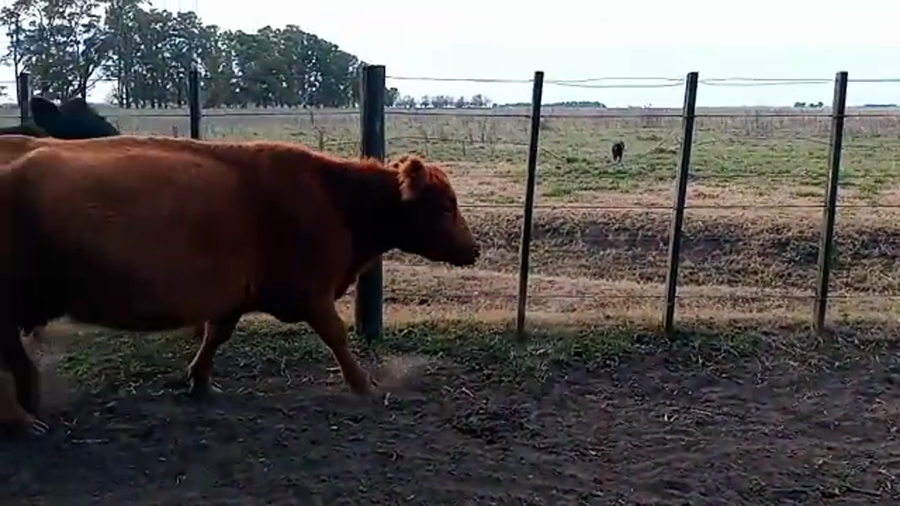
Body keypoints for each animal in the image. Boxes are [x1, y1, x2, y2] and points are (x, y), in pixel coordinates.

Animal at [0, 135, 480, 436]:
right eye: (444, 206)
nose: (473, 249)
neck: (334, 197)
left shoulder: (234, 296)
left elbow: (216, 335)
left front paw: (199, 382)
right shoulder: (312, 293)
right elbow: (337, 337)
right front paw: (364, 386)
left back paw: (31, 404)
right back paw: (23, 422)